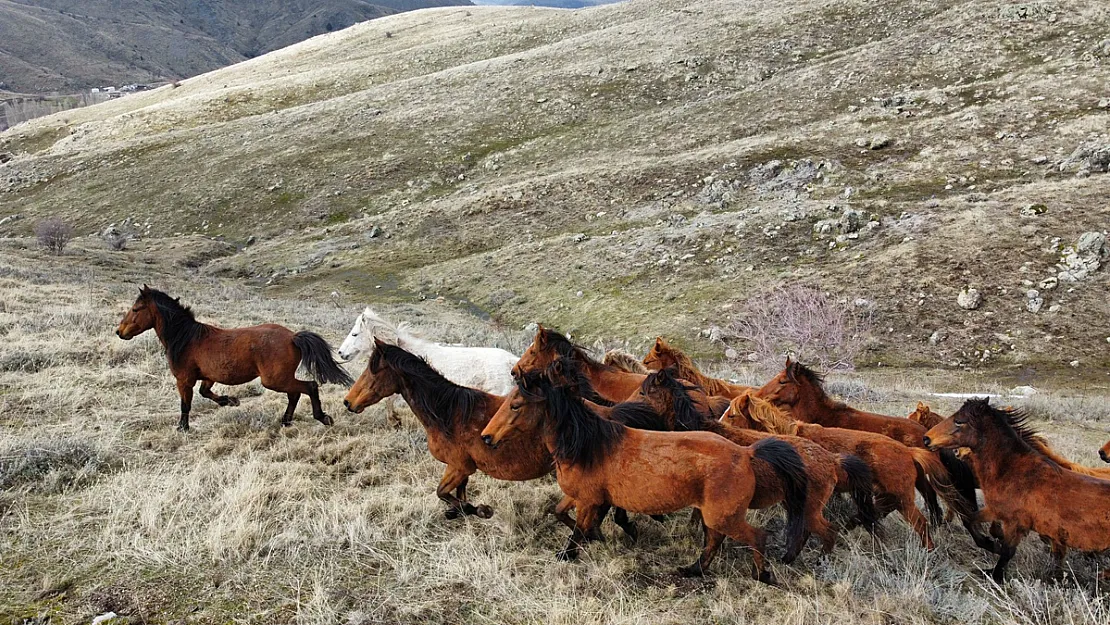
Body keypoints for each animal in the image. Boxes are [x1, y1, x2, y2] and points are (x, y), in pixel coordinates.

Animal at [116, 286, 350, 430]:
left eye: (136, 309)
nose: (119, 332)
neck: (186, 338)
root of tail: (293, 337)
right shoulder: (207, 377)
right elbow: (205, 393)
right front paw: (230, 401)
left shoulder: (184, 380)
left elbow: (186, 405)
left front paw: (182, 428)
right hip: (280, 379)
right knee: (295, 394)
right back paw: (286, 421)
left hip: (274, 380)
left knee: (309, 387)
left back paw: (322, 417)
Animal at [341, 339, 555, 521]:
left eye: (373, 370)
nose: (348, 401)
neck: (450, 414)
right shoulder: (460, 469)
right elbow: (459, 496)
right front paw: (460, 511)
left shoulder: (459, 467)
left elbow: (442, 493)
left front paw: (481, 510)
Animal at [477, 370, 808, 581]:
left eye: (516, 405)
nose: (486, 437)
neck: (588, 445)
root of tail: (747, 454)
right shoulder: (581, 497)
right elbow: (560, 513)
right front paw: (601, 536)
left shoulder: (587, 501)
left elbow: (578, 530)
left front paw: (571, 553)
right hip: (716, 515)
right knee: (714, 540)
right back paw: (693, 570)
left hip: (724, 516)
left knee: (755, 537)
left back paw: (762, 575)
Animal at [923, 399, 1110, 586]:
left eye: (959, 421)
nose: (926, 439)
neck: (1015, 471)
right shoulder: (996, 511)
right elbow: (970, 520)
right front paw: (990, 545)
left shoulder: (1014, 523)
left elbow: (1008, 551)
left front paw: (995, 574)